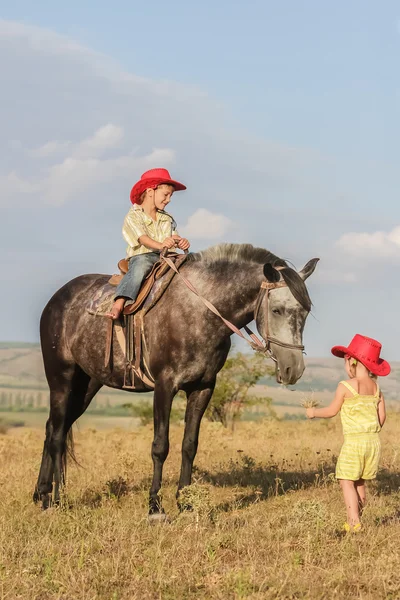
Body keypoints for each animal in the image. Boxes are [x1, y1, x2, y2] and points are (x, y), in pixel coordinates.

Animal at [34, 243, 318, 516]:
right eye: (277, 310)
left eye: (305, 312)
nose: (294, 369)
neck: (200, 312)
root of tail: (56, 300)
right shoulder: (164, 386)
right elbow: (160, 446)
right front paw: (155, 507)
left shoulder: (203, 387)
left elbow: (189, 445)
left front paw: (186, 503)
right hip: (61, 379)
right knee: (57, 435)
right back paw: (56, 500)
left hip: (88, 384)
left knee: (52, 428)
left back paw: (41, 494)